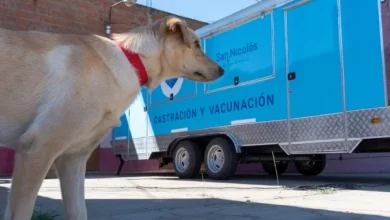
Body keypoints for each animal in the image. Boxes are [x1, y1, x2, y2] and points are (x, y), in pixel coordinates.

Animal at [0, 13, 224, 218]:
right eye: (196, 44)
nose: (222, 70)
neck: (131, 60)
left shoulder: (72, 159)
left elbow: (79, 211)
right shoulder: (38, 148)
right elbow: (20, 212)